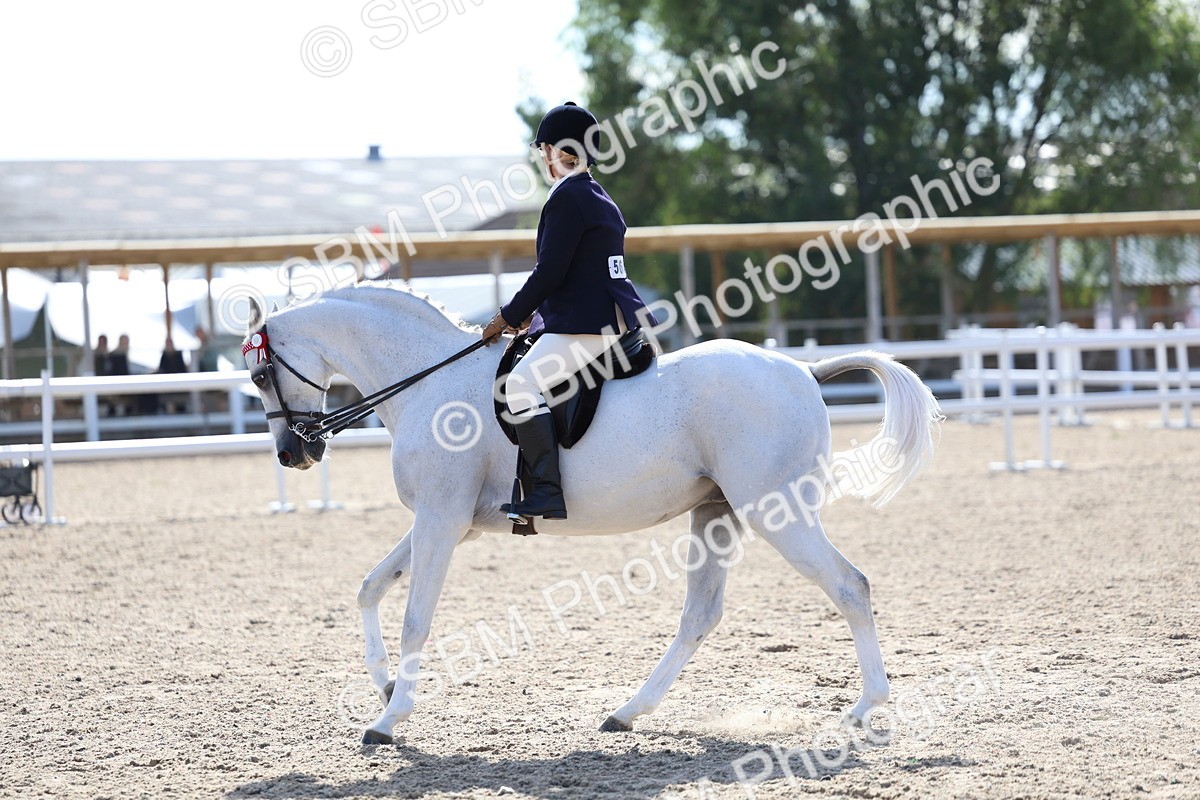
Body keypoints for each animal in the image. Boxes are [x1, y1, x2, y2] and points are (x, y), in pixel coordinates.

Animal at [242, 283, 941, 745]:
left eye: (259, 375)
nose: (291, 454)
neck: (428, 385)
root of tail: (803, 370)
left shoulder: (441, 518)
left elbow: (417, 618)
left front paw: (389, 720)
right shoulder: (453, 522)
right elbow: (368, 589)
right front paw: (387, 688)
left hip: (777, 512)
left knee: (849, 586)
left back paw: (865, 709)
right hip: (717, 513)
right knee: (700, 615)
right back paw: (626, 713)